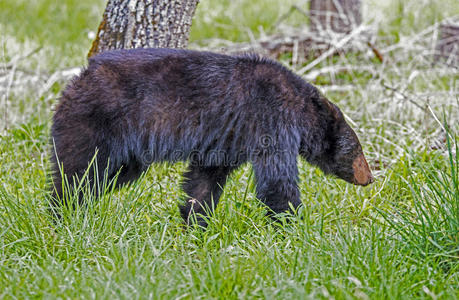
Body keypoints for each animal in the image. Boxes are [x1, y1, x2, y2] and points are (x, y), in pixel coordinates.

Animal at [51, 47, 374, 225]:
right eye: (357, 149)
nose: (370, 177)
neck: (301, 106)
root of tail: (78, 78)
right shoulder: (271, 120)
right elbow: (277, 180)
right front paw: (292, 227)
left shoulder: (226, 141)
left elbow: (204, 179)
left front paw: (194, 222)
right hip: (95, 126)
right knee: (77, 172)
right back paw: (63, 213)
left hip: (125, 154)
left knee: (101, 177)